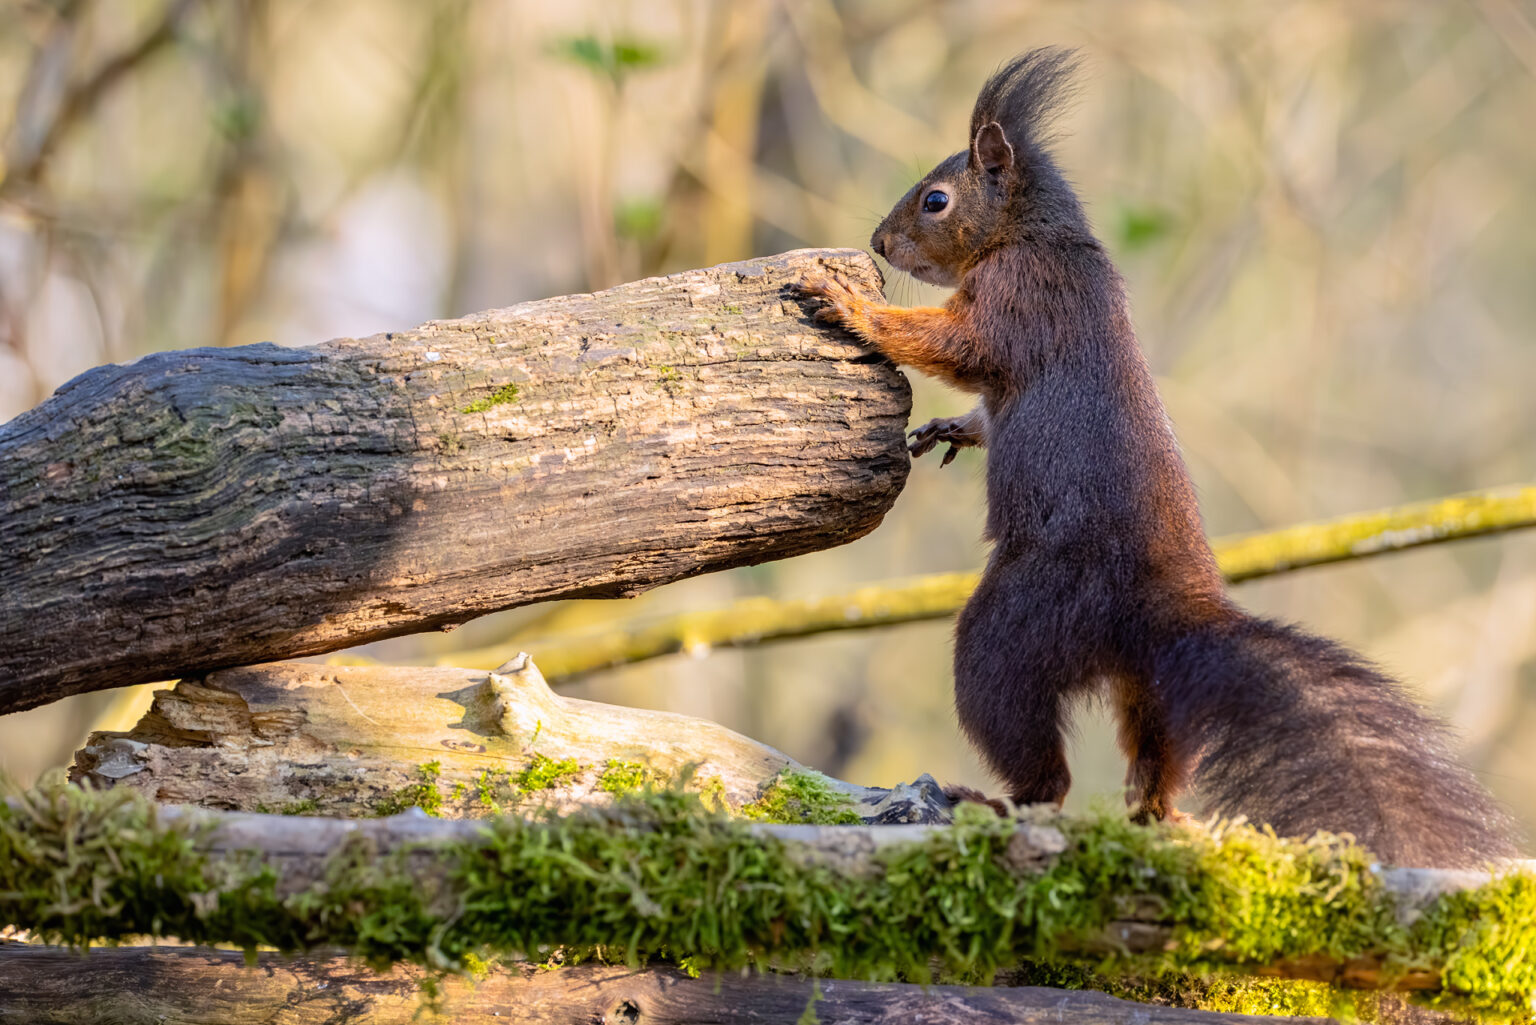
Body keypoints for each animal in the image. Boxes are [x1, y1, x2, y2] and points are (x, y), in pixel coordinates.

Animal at [798, 46, 1517, 866]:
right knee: (1153, 759)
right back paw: (1160, 815)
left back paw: (996, 801)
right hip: (1152, 691)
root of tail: (1154, 617)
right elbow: (980, 402)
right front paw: (951, 428)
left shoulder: (1020, 298)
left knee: (1042, 767)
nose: (880, 244)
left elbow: (952, 343)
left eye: (936, 200)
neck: (1030, 237)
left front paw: (853, 307)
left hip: (1012, 632)